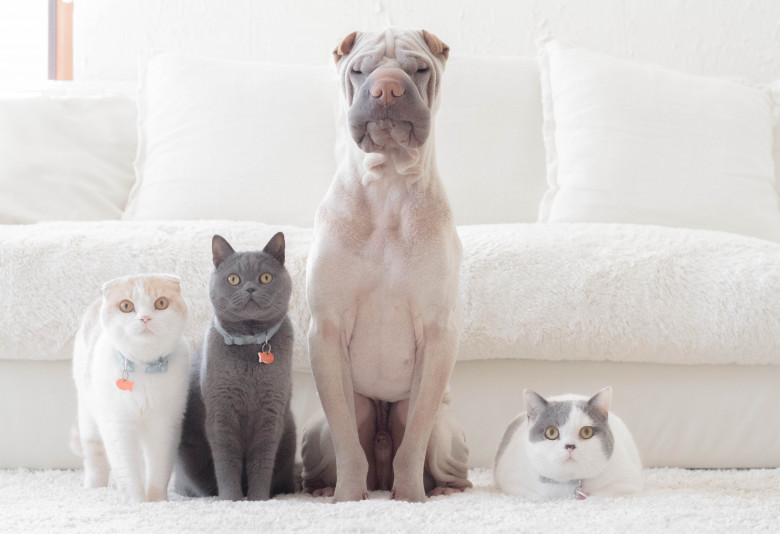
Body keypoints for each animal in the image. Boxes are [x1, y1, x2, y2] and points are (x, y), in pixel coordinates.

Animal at [71, 274, 190, 504]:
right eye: (126, 306)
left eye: (161, 303)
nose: (145, 318)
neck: (144, 367)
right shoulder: (118, 425)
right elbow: (127, 470)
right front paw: (137, 501)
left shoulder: (165, 425)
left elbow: (159, 469)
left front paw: (157, 501)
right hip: (89, 416)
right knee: (95, 456)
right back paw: (94, 487)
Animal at [175, 233, 298, 502]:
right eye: (233, 279)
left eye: (265, 277)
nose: (250, 288)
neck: (250, 344)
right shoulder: (221, 411)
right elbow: (226, 460)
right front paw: (232, 499)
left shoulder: (271, 411)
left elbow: (261, 461)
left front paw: (257, 499)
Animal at [302, 29, 472, 504]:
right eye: (360, 71)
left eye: (419, 69)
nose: (388, 89)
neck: (389, 187)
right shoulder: (326, 330)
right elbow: (347, 441)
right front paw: (347, 498)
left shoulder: (438, 334)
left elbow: (412, 441)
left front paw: (411, 498)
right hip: (318, 433)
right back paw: (324, 489)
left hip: (443, 434)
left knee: (440, 455)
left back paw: (445, 489)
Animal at [496, 388, 644, 500]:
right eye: (551, 432)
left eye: (586, 431)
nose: (570, 446)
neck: (569, 485)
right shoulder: (509, 482)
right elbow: (536, 495)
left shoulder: (629, 482)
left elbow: (602, 493)